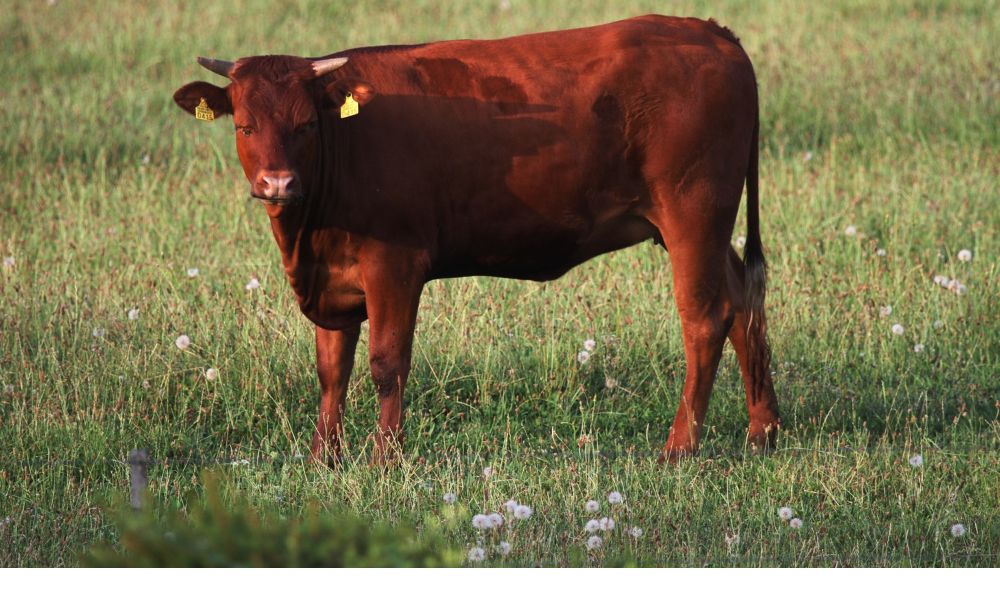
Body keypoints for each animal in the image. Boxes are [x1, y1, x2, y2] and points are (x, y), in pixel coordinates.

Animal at [173, 15, 781, 464]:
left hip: (692, 213)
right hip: (704, 228)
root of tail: (708, 30)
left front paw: (384, 460)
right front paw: (325, 459)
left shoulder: (394, 263)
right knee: (743, 300)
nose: (278, 183)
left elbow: (386, 362)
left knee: (705, 318)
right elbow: (332, 370)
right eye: (244, 125)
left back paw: (679, 448)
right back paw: (763, 430)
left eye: (305, 126)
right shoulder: (334, 280)